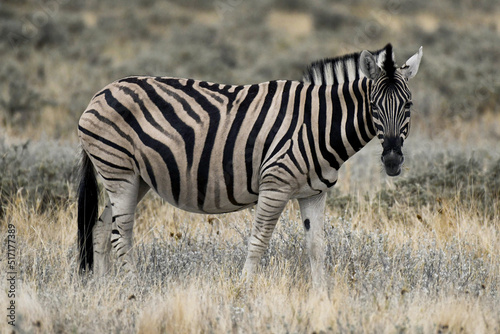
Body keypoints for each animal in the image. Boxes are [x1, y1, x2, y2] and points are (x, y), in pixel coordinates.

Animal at [77, 43, 422, 288]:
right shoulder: (275, 185)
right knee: (121, 233)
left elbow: (317, 247)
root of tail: (100, 92)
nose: (392, 160)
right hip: (118, 171)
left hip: (136, 178)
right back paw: (133, 288)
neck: (317, 123)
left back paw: (102, 290)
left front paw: (322, 298)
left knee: (100, 228)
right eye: (374, 105)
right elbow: (258, 241)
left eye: (408, 105)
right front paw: (243, 290)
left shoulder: (313, 193)